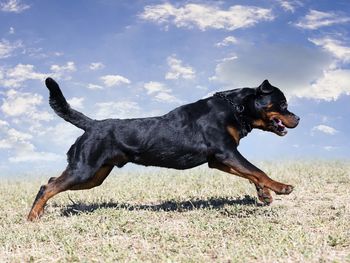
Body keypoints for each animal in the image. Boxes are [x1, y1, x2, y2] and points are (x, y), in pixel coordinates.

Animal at [28, 78, 300, 221]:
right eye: (283, 104)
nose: (298, 118)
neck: (236, 109)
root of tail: (92, 125)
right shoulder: (226, 152)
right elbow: (257, 170)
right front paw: (281, 187)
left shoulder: (219, 159)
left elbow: (251, 173)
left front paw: (265, 194)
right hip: (84, 168)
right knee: (47, 187)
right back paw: (33, 217)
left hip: (94, 175)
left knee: (51, 181)